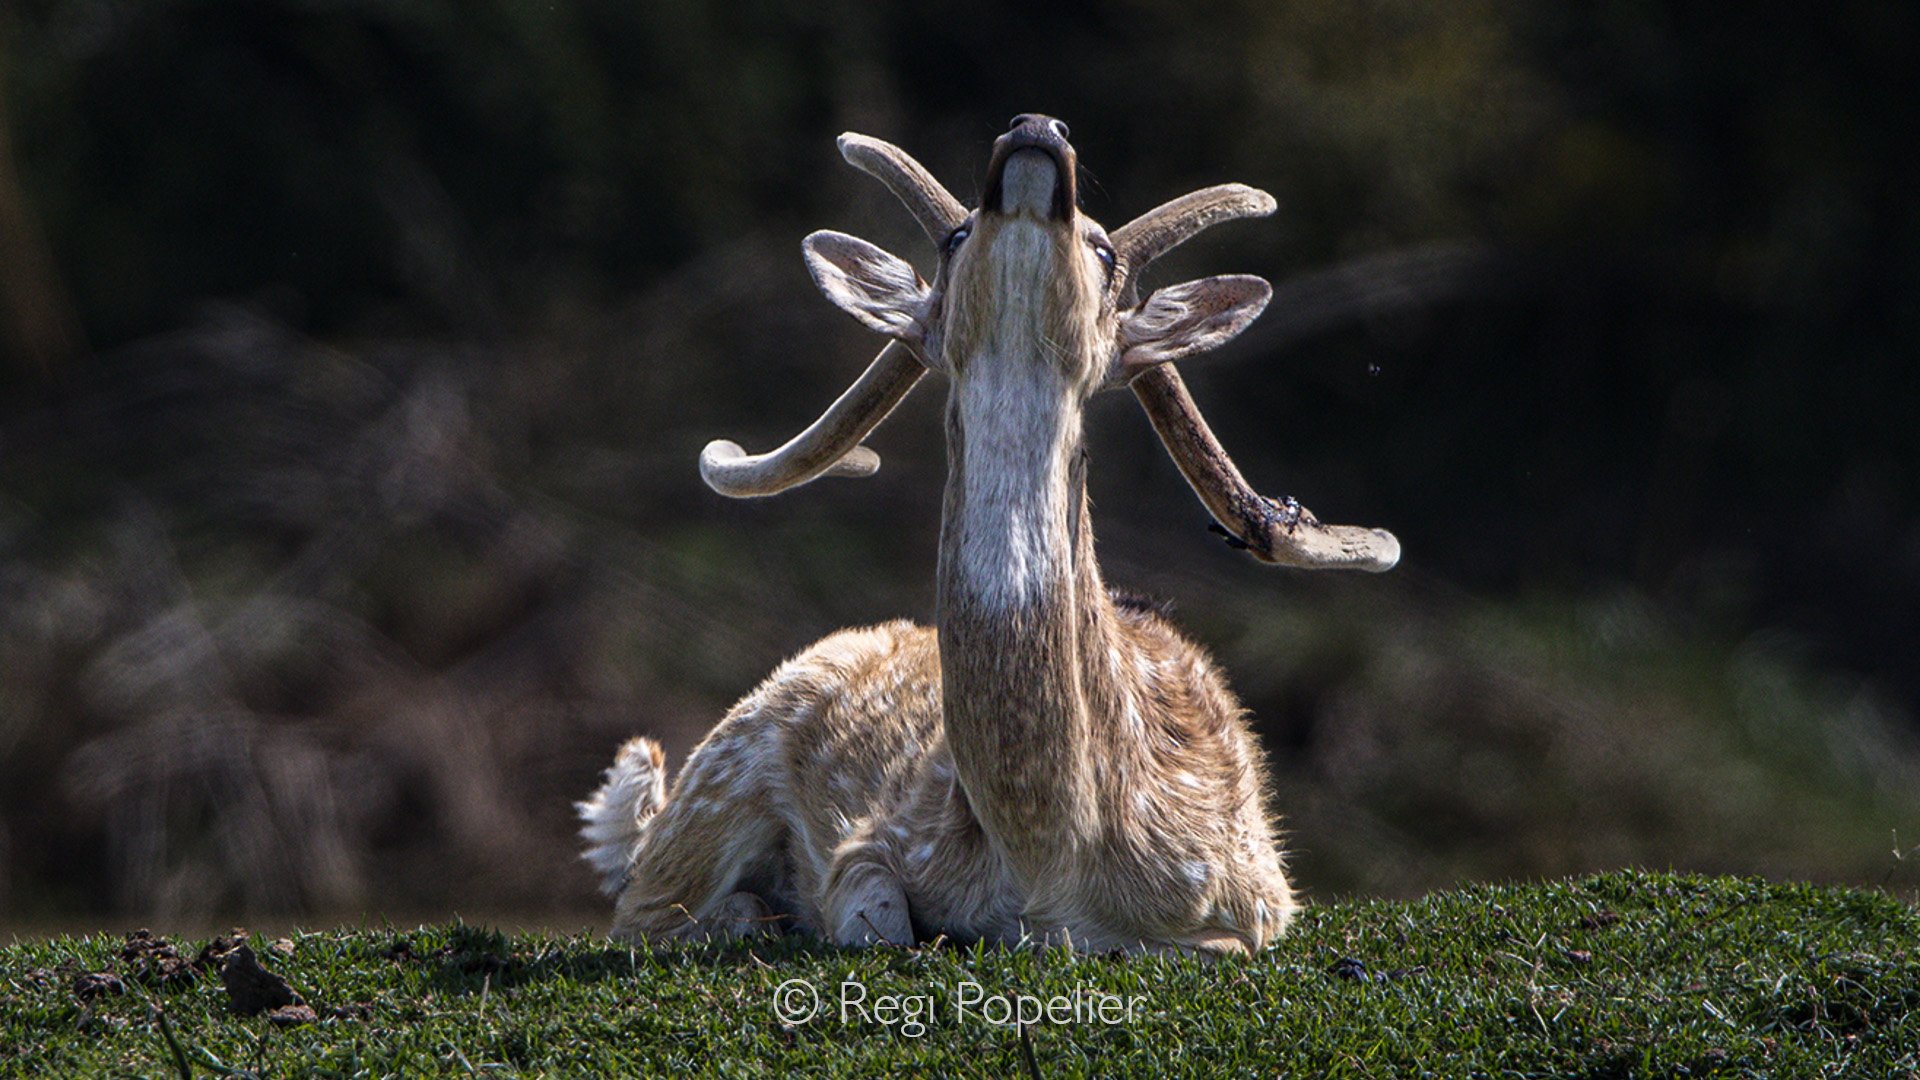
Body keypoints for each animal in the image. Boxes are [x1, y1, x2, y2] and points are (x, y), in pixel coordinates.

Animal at [578, 115, 1400, 956]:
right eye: (955, 235)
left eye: (1106, 254)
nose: (1036, 129)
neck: (1051, 863)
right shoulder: (878, 838)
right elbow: (874, 921)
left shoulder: (1256, 894)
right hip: (717, 781)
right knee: (640, 906)